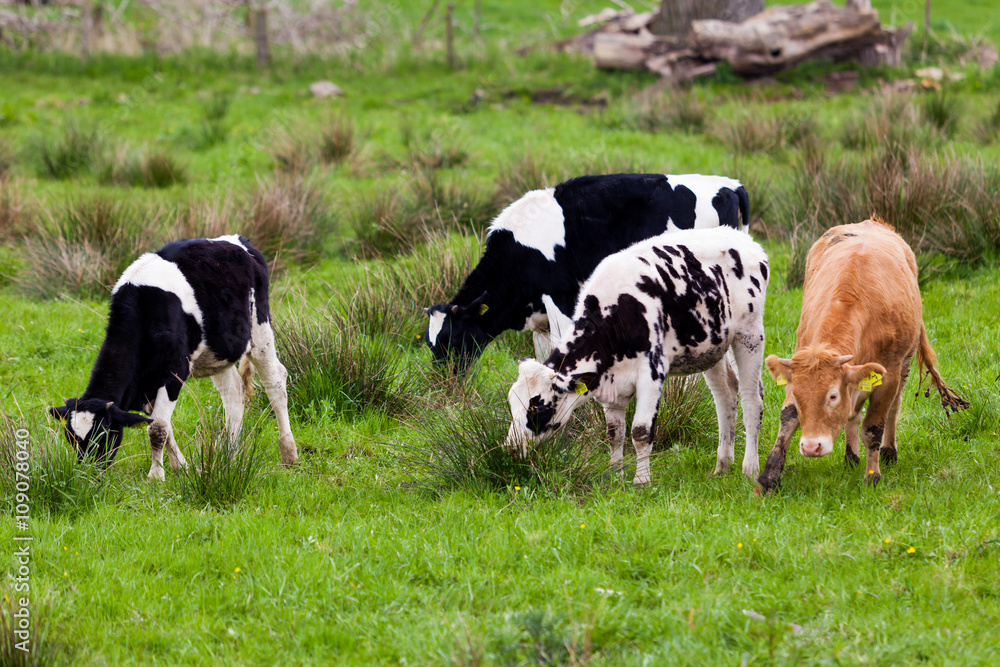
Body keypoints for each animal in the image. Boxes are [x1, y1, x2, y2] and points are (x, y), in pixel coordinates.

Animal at [48, 235, 296, 480]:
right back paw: (228, 455)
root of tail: (238, 240)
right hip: (219, 351)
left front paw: (156, 476)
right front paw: (182, 466)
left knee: (275, 383)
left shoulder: (174, 371)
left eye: (103, 435)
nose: (87, 473)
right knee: (234, 393)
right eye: (71, 438)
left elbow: (158, 428)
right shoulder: (147, 383)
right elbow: (163, 425)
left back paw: (289, 454)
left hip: (260, 331)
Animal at [424, 172, 752, 370]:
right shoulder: (540, 317)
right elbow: (543, 352)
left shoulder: (561, 298)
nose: (444, 382)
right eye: (430, 343)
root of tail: (730, 184)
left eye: (452, 339)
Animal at [760, 219, 964, 490]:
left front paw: (873, 476)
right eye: (799, 395)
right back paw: (851, 457)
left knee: (893, 407)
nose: (812, 446)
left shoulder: (888, 375)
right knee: (854, 415)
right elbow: (789, 417)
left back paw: (888, 451)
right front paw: (769, 476)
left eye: (832, 396)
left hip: (904, 365)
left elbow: (873, 427)